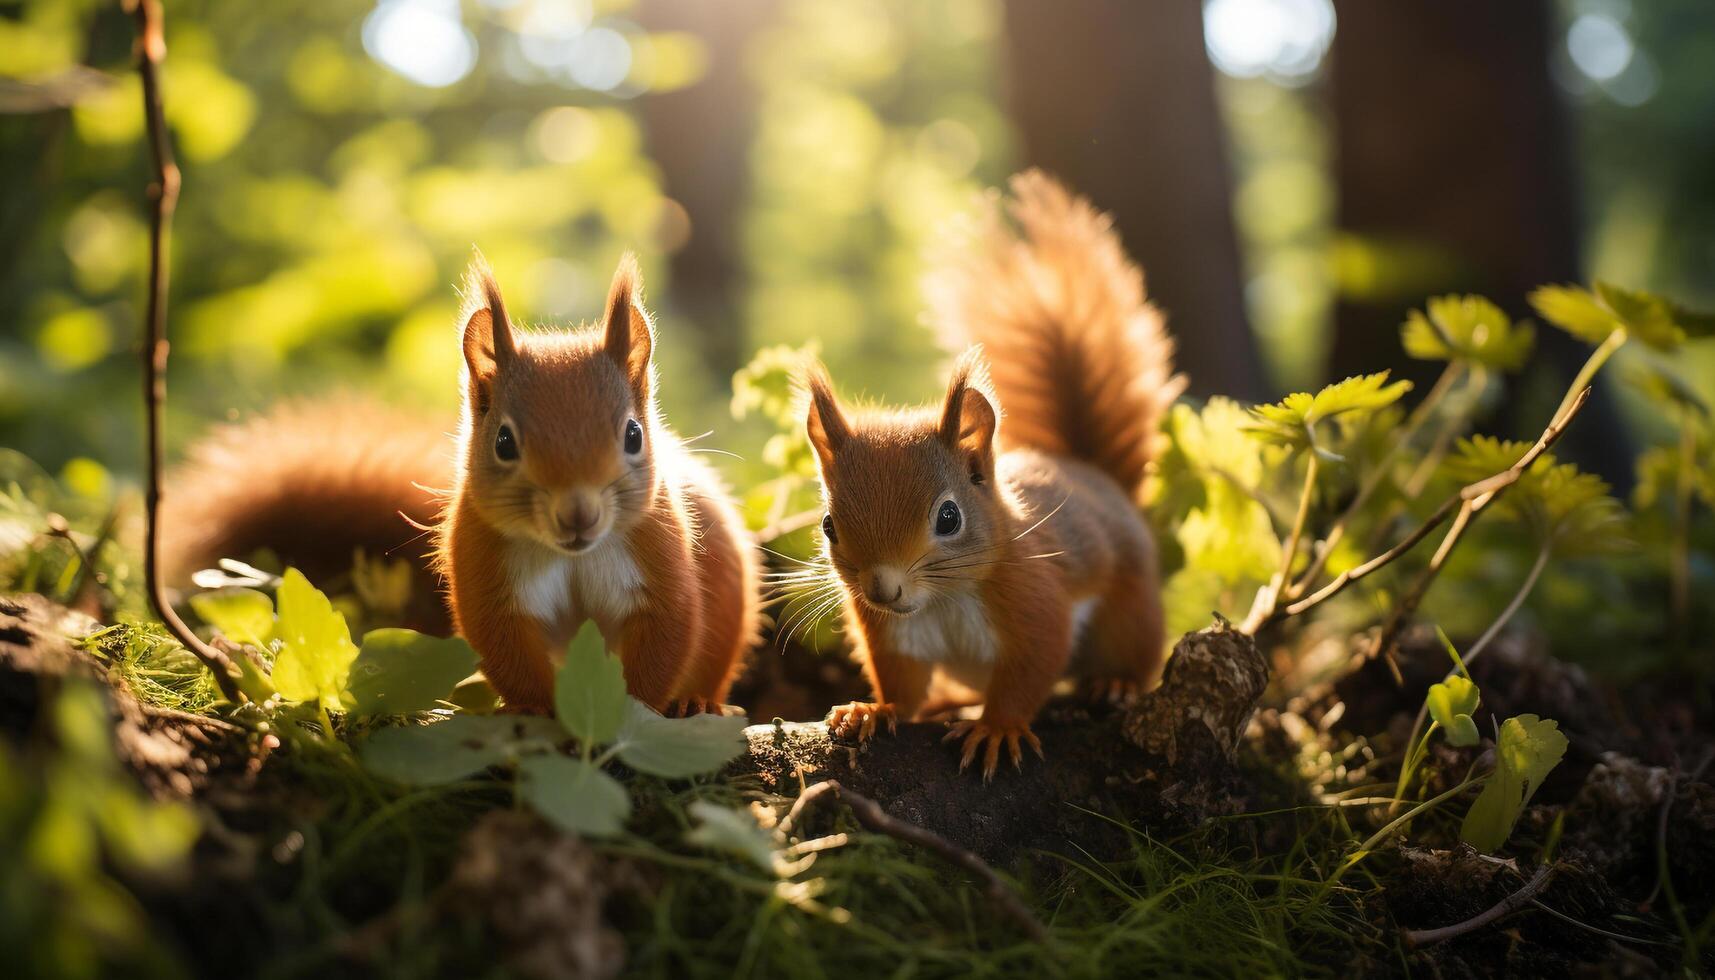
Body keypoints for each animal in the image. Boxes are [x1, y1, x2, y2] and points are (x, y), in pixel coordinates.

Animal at [165, 252, 758, 717]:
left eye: (634, 434)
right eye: (504, 442)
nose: (578, 514)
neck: (571, 556)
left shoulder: (659, 565)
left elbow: (663, 644)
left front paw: (632, 711)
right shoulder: (487, 575)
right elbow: (508, 651)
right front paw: (531, 710)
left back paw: (698, 701)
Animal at [799, 172, 1179, 779]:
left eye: (949, 517)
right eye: (829, 525)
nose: (883, 589)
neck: (944, 600)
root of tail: (1094, 475)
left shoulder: (1037, 603)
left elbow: (1030, 670)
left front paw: (997, 729)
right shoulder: (895, 637)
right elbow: (901, 684)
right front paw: (874, 709)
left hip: (1131, 609)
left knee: (1133, 655)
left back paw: (1113, 683)